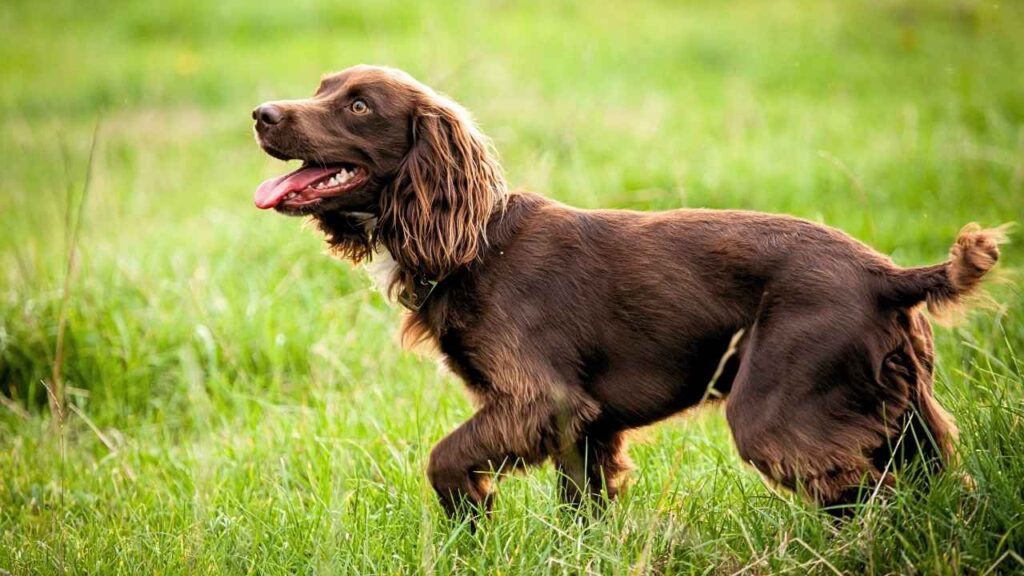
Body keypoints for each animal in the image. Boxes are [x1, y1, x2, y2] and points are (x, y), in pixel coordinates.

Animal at [251, 65, 1003, 512]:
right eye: (320, 87)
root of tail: (887, 276)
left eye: (356, 105)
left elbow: (443, 458)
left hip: (777, 412)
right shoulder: (583, 426)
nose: (261, 113)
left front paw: (473, 514)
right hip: (906, 413)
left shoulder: (540, 400)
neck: (475, 244)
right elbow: (580, 510)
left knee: (871, 496)